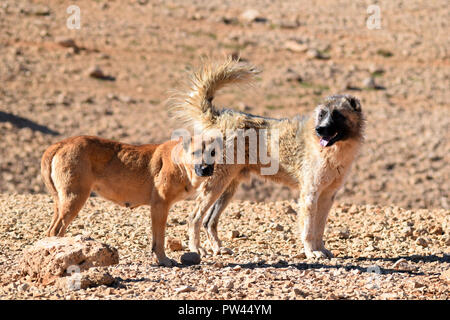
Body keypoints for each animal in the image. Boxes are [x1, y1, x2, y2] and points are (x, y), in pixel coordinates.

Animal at [41, 134, 216, 264]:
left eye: (213, 153)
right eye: (196, 152)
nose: (206, 169)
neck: (180, 162)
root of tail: (60, 144)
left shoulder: (157, 208)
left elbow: (155, 239)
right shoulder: (160, 205)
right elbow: (160, 238)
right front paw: (164, 260)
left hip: (61, 202)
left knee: (51, 231)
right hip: (75, 198)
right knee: (55, 231)